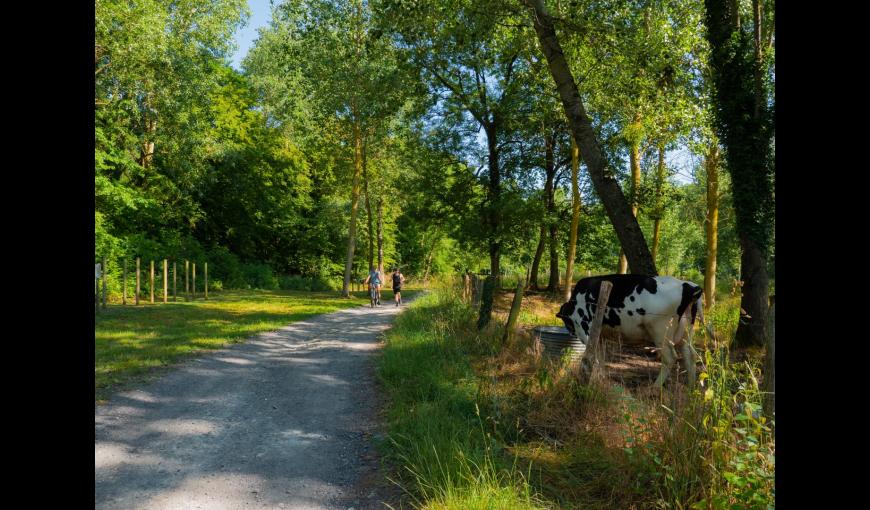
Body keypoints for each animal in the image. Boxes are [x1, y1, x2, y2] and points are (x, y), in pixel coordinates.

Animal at [560, 274, 708, 386]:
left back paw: (655, 387)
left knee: (670, 358)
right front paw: (602, 376)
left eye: (567, 322)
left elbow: (590, 354)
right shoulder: (600, 335)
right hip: (685, 332)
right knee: (690, 355)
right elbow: (600, 356)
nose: (571, 332)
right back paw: (690, 387)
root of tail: (688, 285)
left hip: (660, 331)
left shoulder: (584, 326)